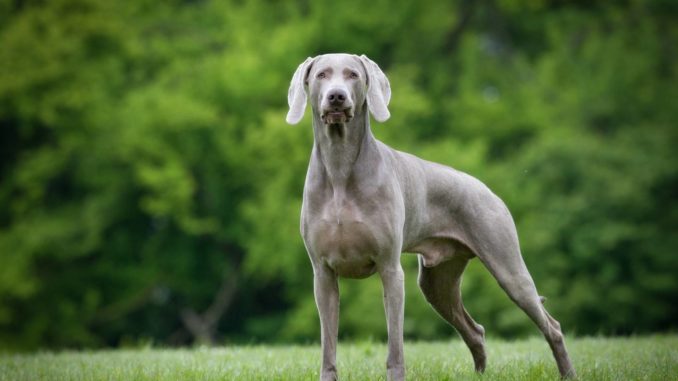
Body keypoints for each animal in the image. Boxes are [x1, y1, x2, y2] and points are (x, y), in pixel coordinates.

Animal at [286, 54, 580, 380]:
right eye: (322, 75)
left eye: (353, 75)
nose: (336, 96)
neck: (339, 168)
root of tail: (487, 189)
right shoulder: (323, 273)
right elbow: (328, 344)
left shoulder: (390, 269)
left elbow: (395, 344)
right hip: (438, 281)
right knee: (475, 331)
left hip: (508, 267)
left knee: (551, 325)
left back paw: (568, 373)